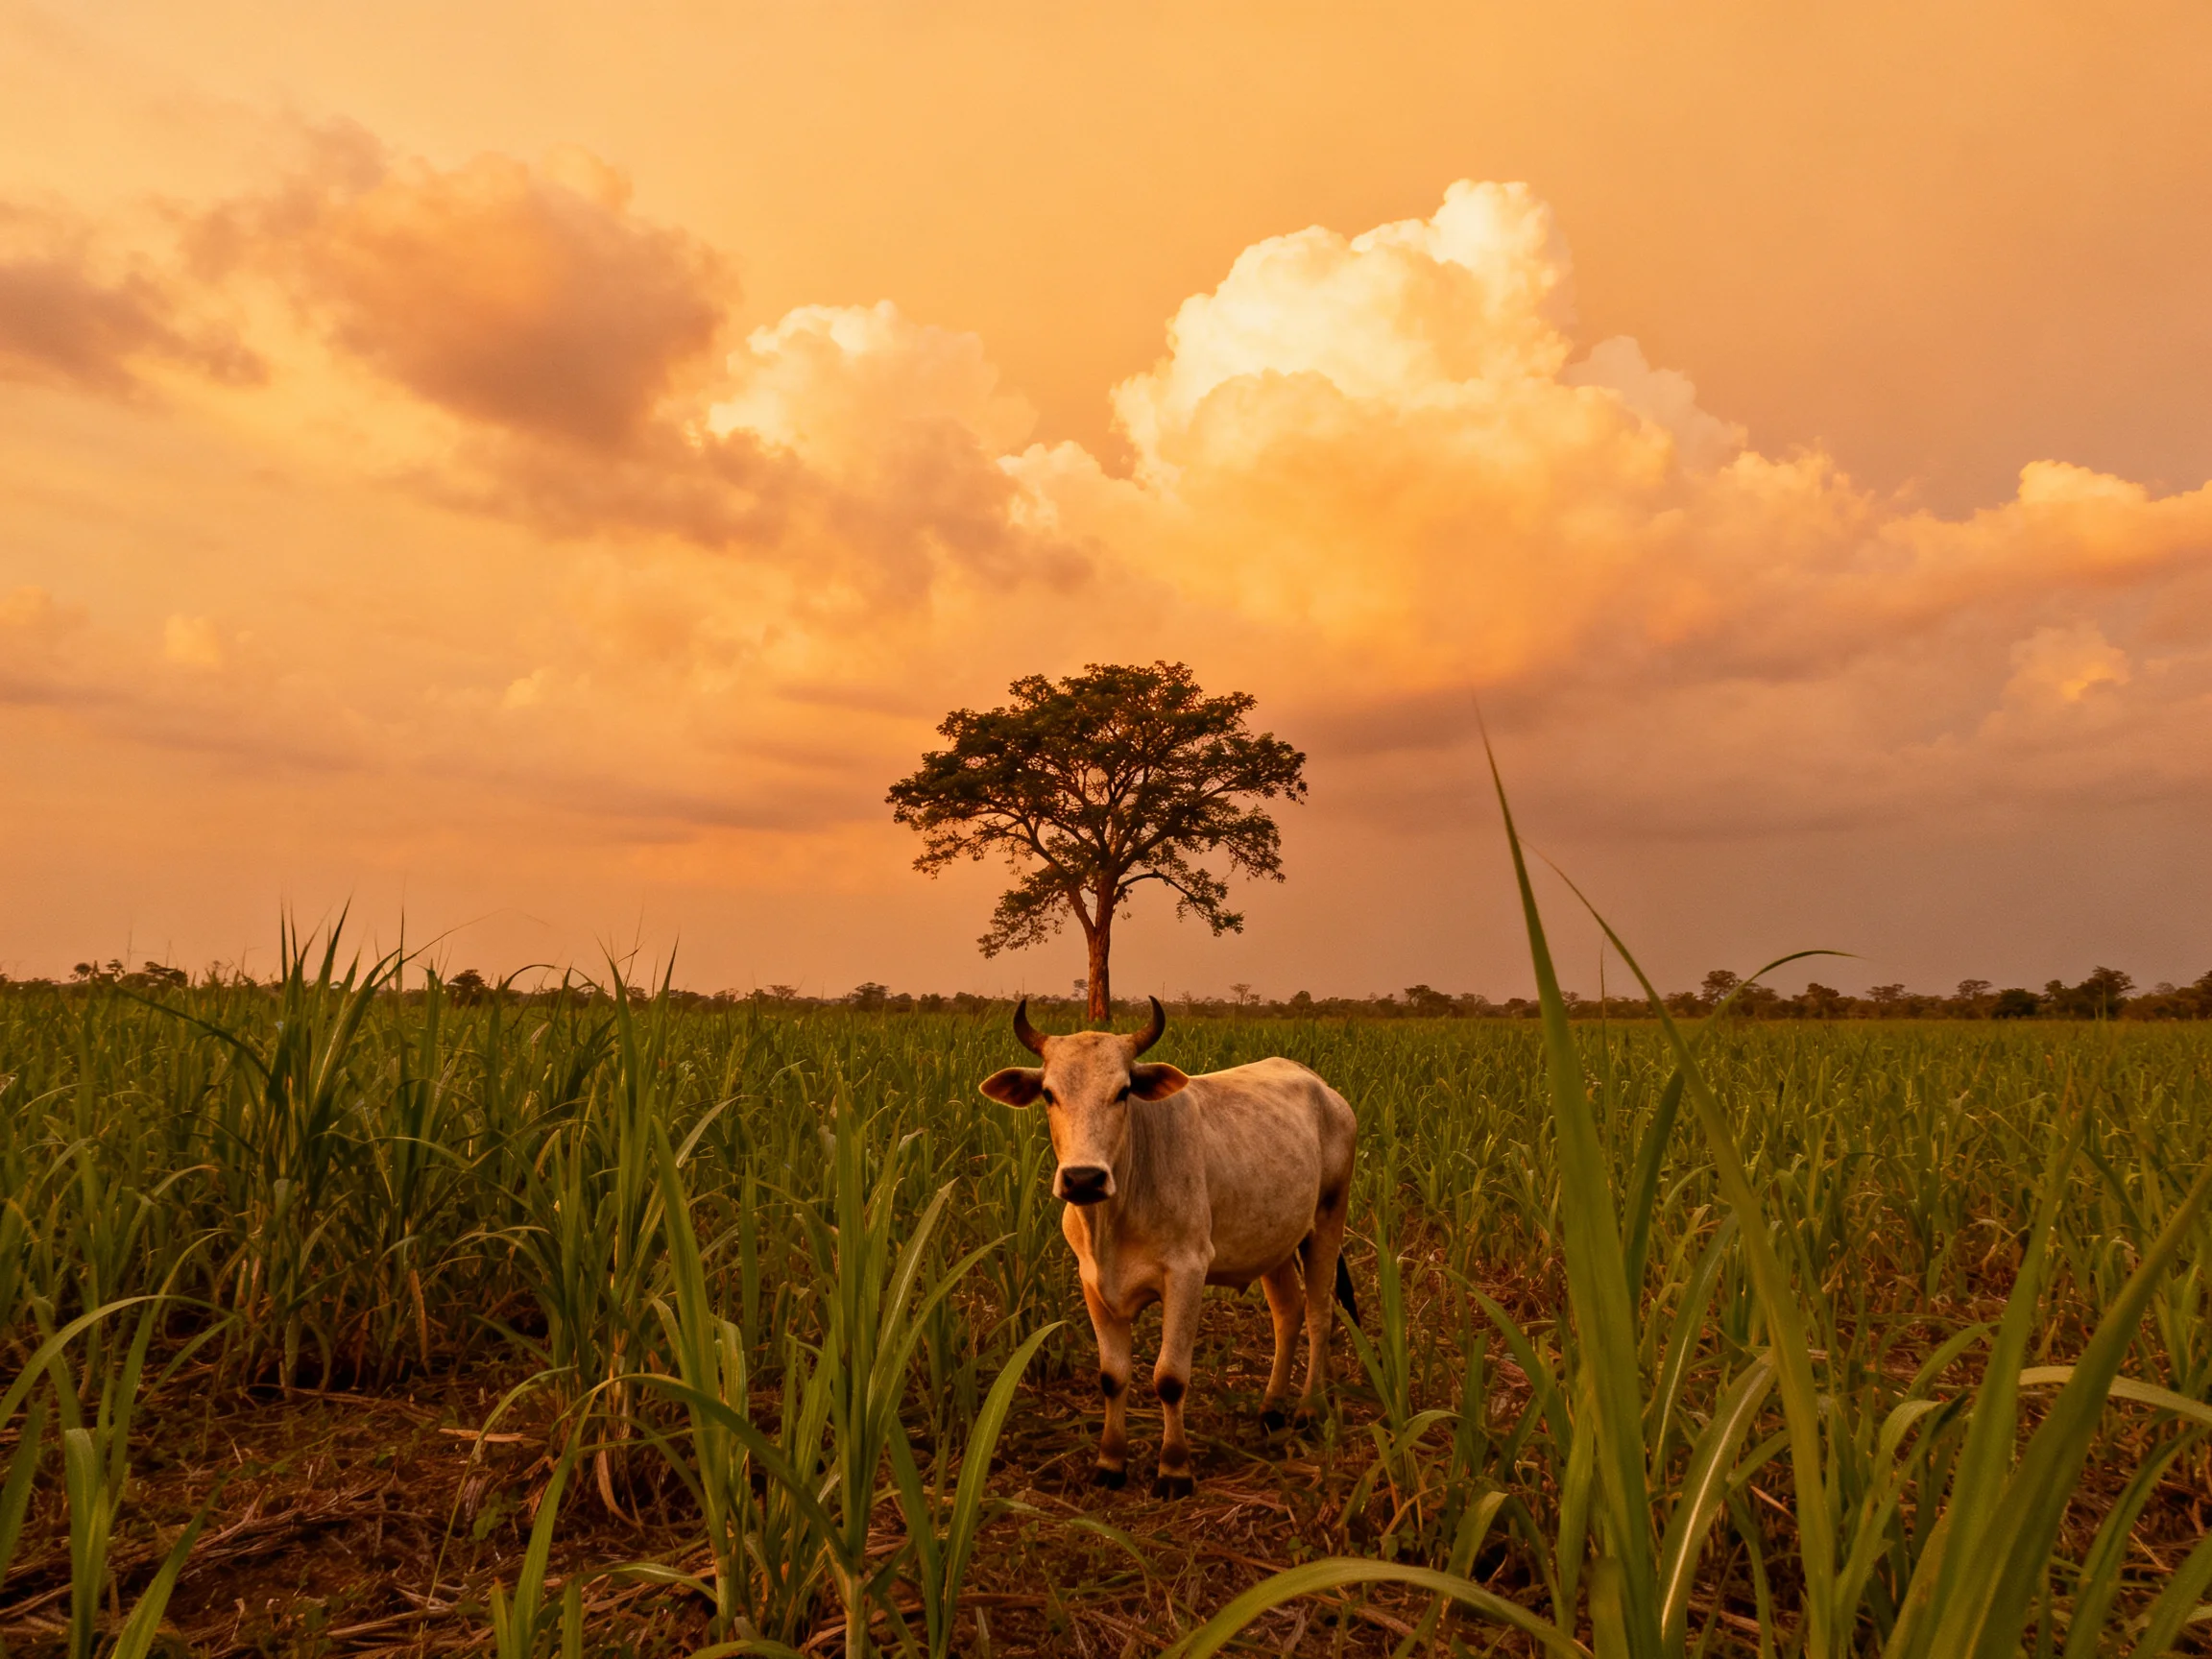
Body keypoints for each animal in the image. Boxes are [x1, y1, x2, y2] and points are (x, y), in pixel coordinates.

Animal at [980, 996, 1358, 1498]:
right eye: (1048, 1093)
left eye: (1123, 1092)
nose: (1084, 1179)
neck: (1114, 1215)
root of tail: (1323, 1089)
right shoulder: (1093, 1283)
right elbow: (1112, 1377)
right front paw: (1110, 1462)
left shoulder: (1187, 1274)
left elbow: (1170, 1378)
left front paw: (1174, 1469)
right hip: (1275, 1242)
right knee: (1288, 1315)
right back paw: (1272, 1409)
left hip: (1327, 1221)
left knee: (1318, 1314)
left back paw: (1309, 1410)